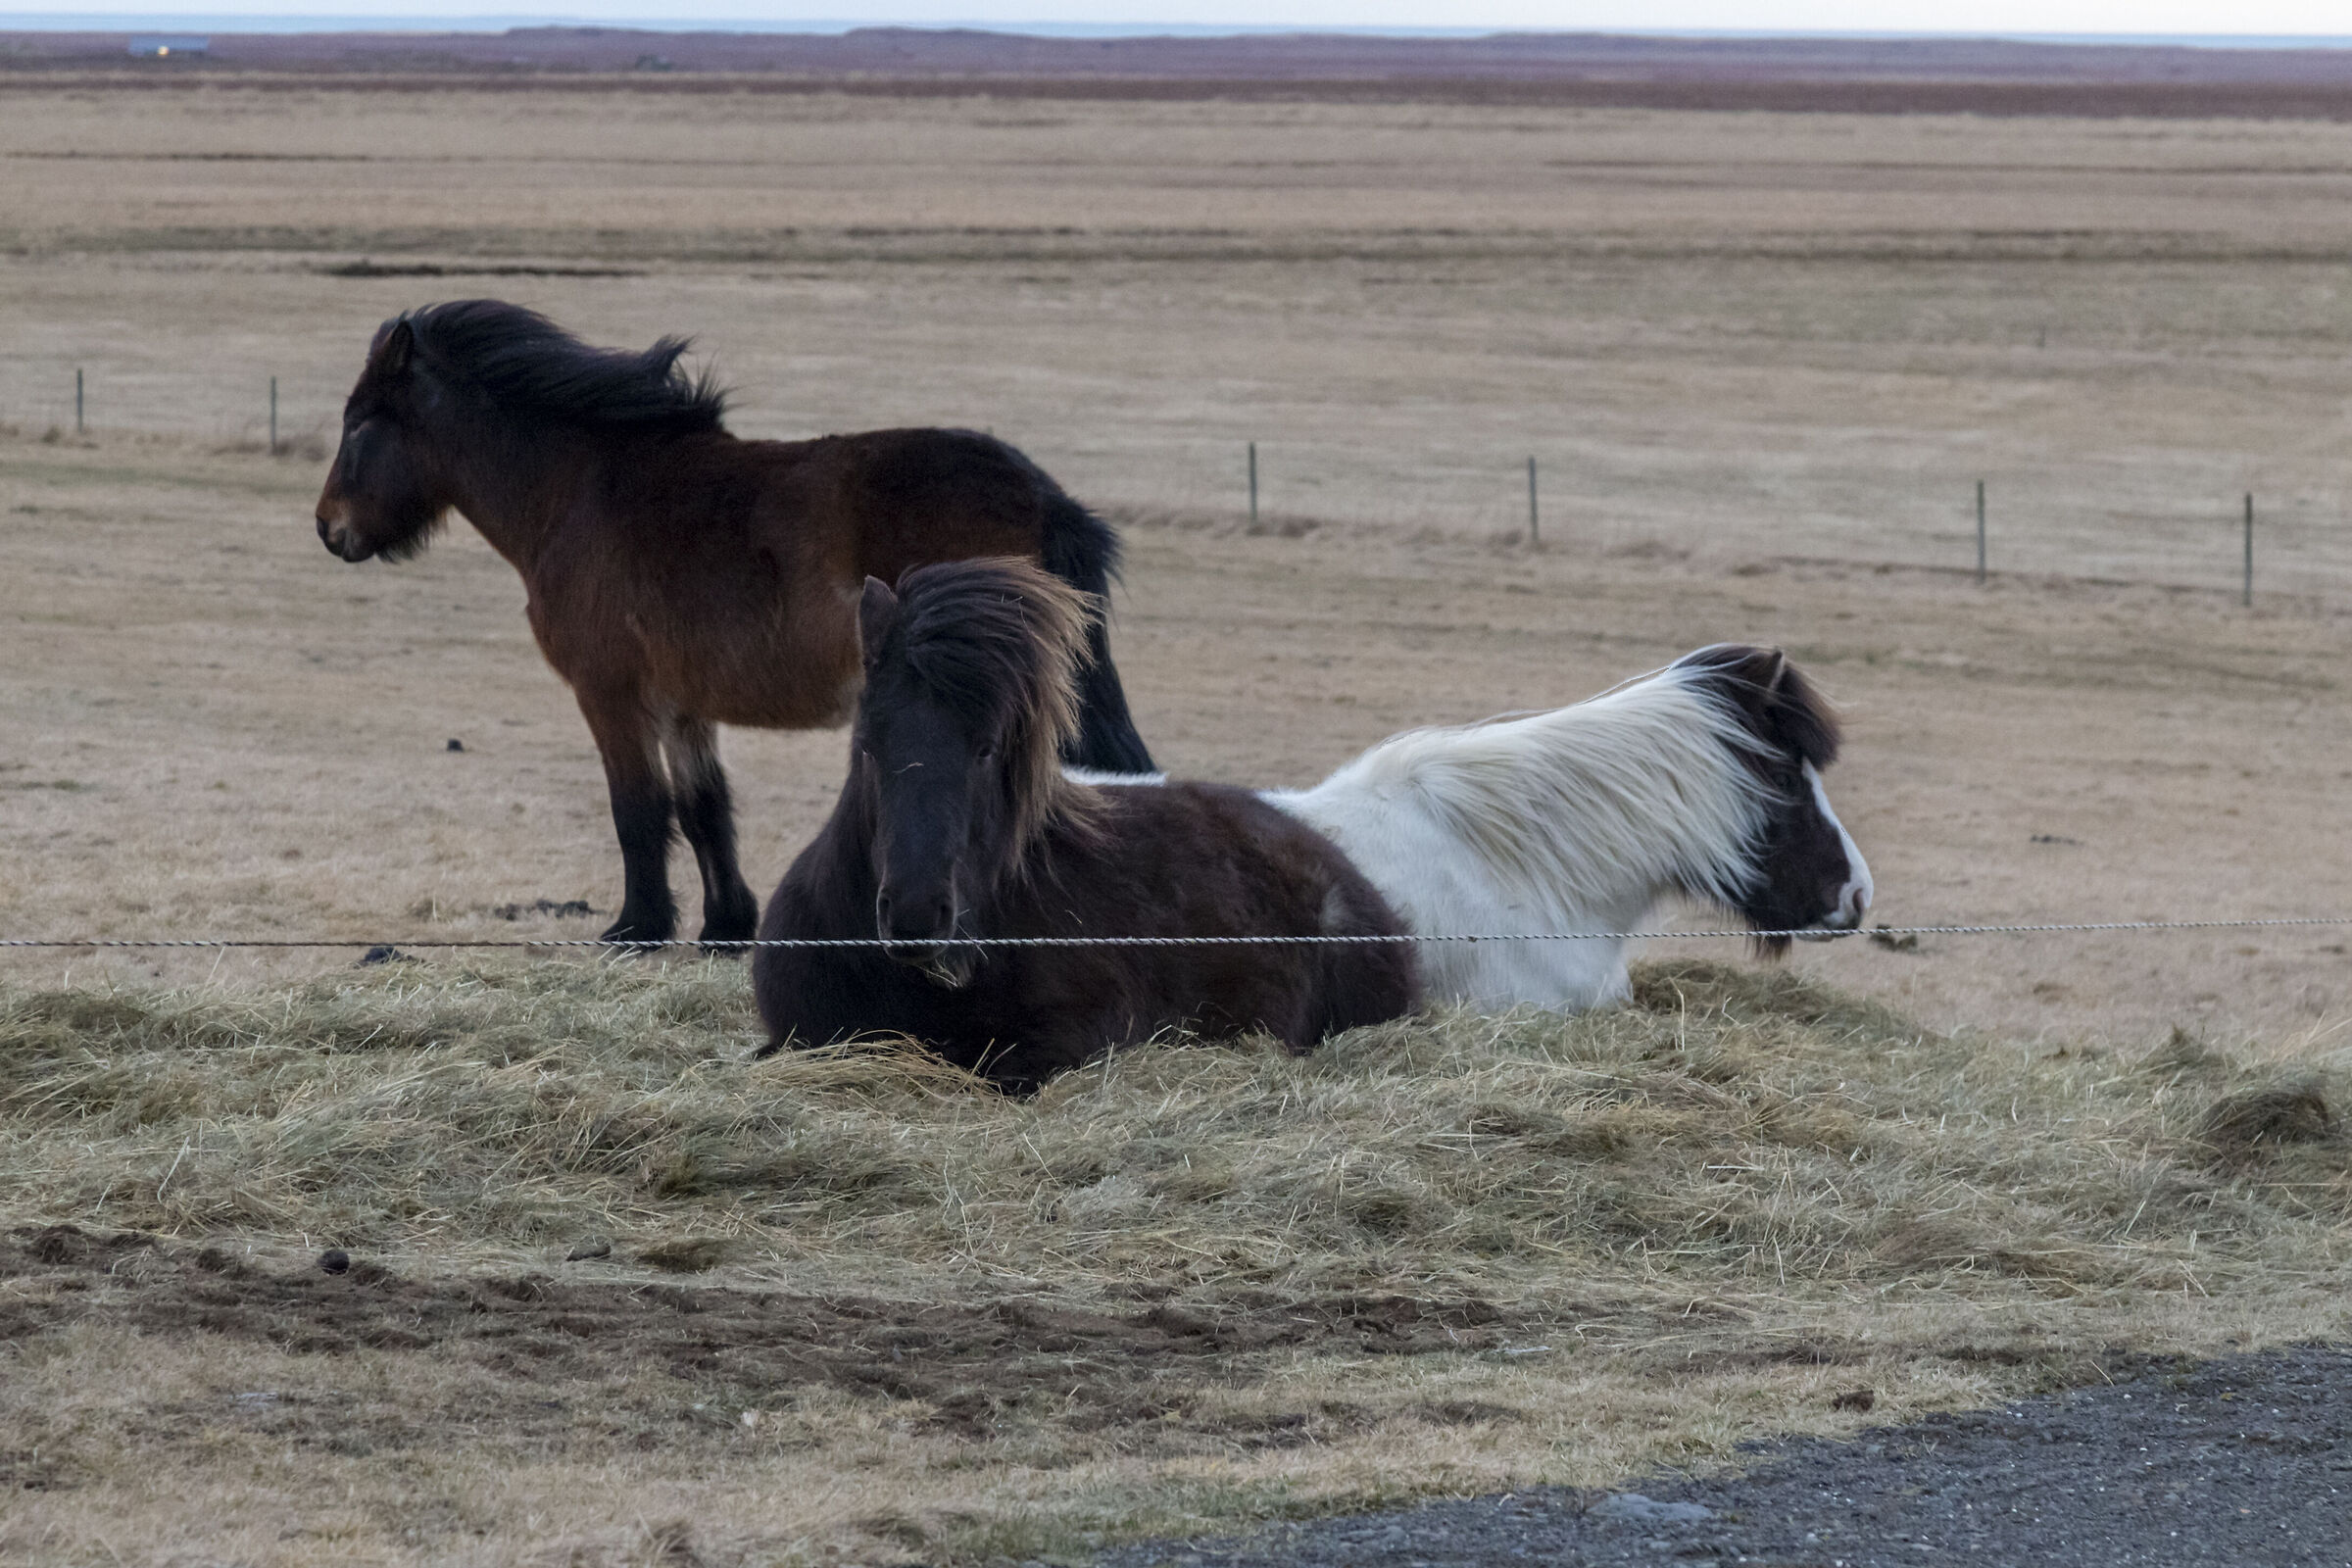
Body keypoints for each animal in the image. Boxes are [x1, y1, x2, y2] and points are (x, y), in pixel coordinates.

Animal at [312, 300, 1154, 947]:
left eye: (358, 424)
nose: (328, 527)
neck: (578, 493)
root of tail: (1044, 497)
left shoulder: (609, 695)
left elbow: (639, 810)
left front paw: (638, 927)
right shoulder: (685, 706)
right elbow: (704, 811)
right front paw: (725, 925)